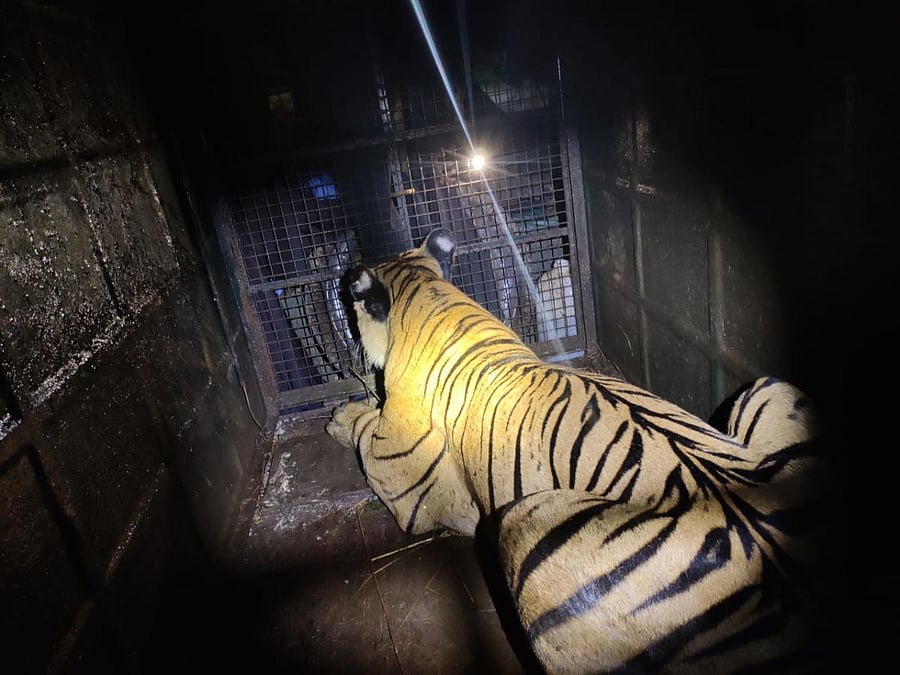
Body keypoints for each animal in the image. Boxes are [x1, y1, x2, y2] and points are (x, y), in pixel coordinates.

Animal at [326, 228, 826, 674]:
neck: (430, 296)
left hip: (527, 526)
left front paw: (341, 417)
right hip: (768, 387)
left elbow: (366, 429)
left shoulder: (408, 488)